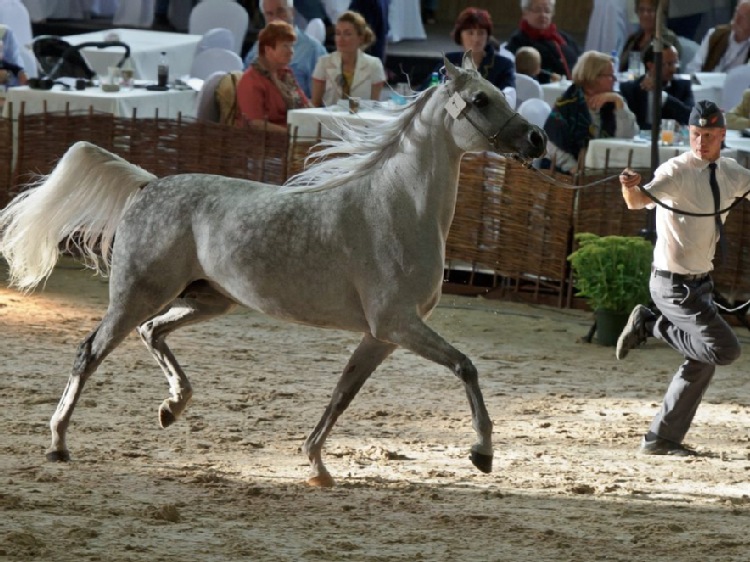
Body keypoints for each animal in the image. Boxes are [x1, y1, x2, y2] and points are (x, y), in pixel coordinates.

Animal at [0, 53, 548, 486]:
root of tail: (147, 185)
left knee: (152, 332)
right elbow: (465, 366)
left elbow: (342, 394)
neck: (395, 207)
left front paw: (317, 466)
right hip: (137, 295)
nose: (538, 139)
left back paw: (172, 407)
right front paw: (482, 453)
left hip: (206, 299)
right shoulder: (398, 324)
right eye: (481, 100)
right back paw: (59, 443)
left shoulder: (381, 336)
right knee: (89, 352)